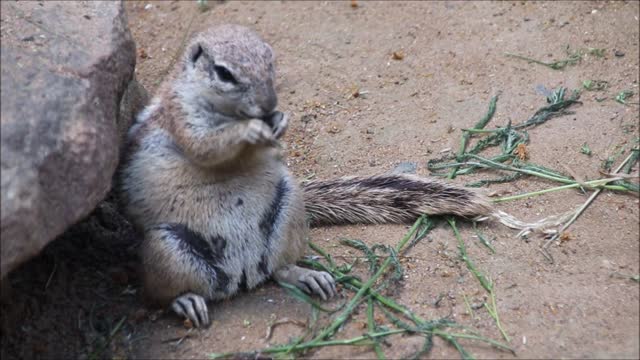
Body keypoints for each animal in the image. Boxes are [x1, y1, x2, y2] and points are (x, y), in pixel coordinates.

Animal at [119, 23, 490, 328]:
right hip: (168, 249)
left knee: (278, 270)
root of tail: (243, 274)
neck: (229, 113)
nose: (268, 104)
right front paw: (248, 130)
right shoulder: (181, 116)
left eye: (270, 60)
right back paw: (187, 302)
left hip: (288, 209)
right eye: (223, 73)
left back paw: (307, 277)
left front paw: (280, 121)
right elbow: (206, 146)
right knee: (162, 295)